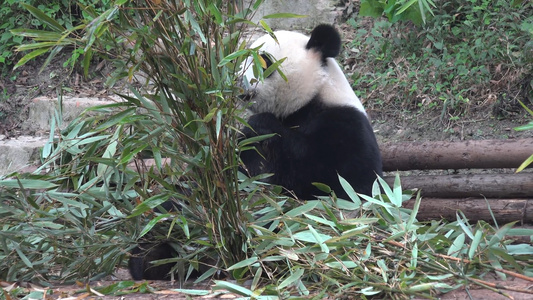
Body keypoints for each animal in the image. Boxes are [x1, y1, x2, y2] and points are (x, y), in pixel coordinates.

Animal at [128, 24, 382, 282]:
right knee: (174, 208)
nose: (235, 82)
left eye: (263, 59)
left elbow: (339, 180)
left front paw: (262, 126)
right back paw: (154, 255)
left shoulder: (347, 127)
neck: (309, 100)